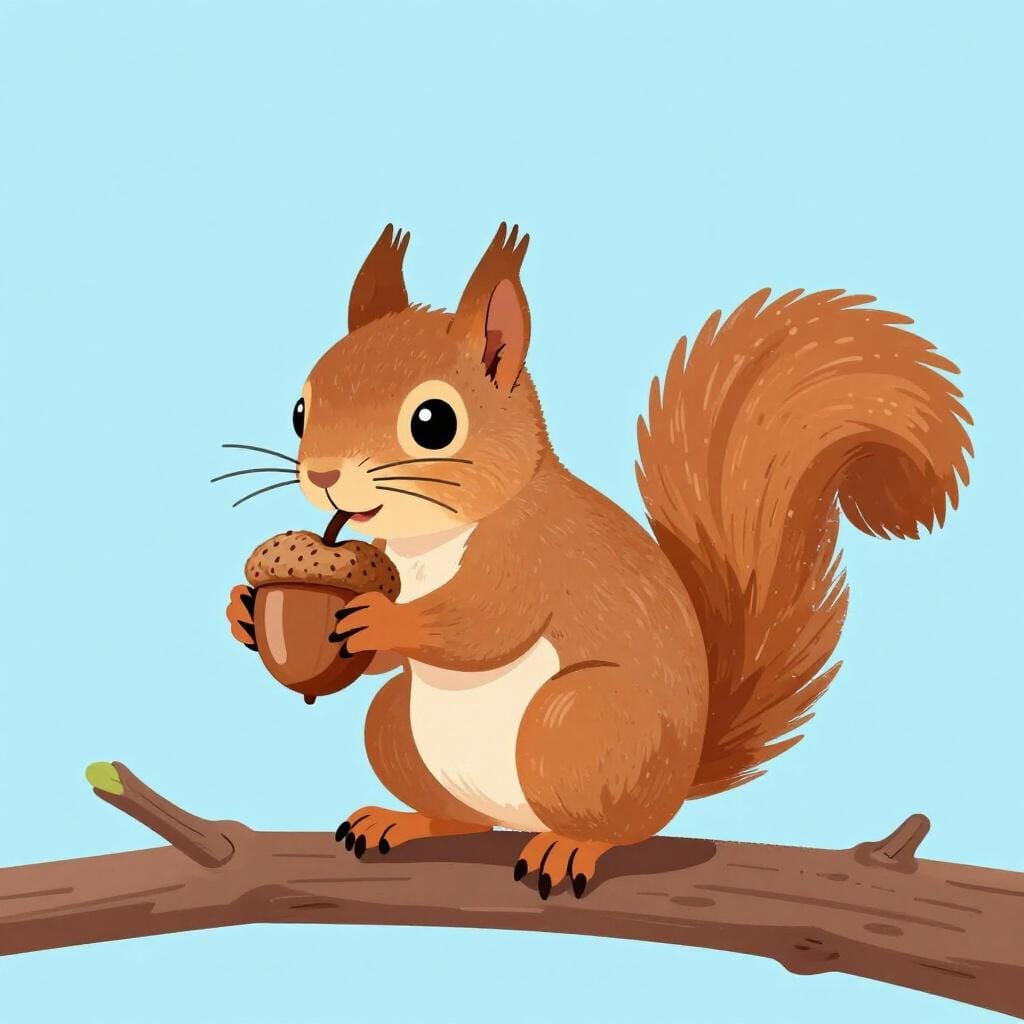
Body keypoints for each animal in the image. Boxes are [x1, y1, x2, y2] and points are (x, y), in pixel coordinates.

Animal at [227, 223, 972, 899]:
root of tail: (680, 780)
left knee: (620, 827)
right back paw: (406, 821)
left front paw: (383, 620)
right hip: (396, 729)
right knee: (462, 811)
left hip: (578, 725)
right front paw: (244, 612)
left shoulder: (534, 554)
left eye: (433, 421)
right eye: (300, 409)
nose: (323, 476)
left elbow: (482, 625)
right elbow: (389, 663)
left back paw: (571, 845)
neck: (430, 540)